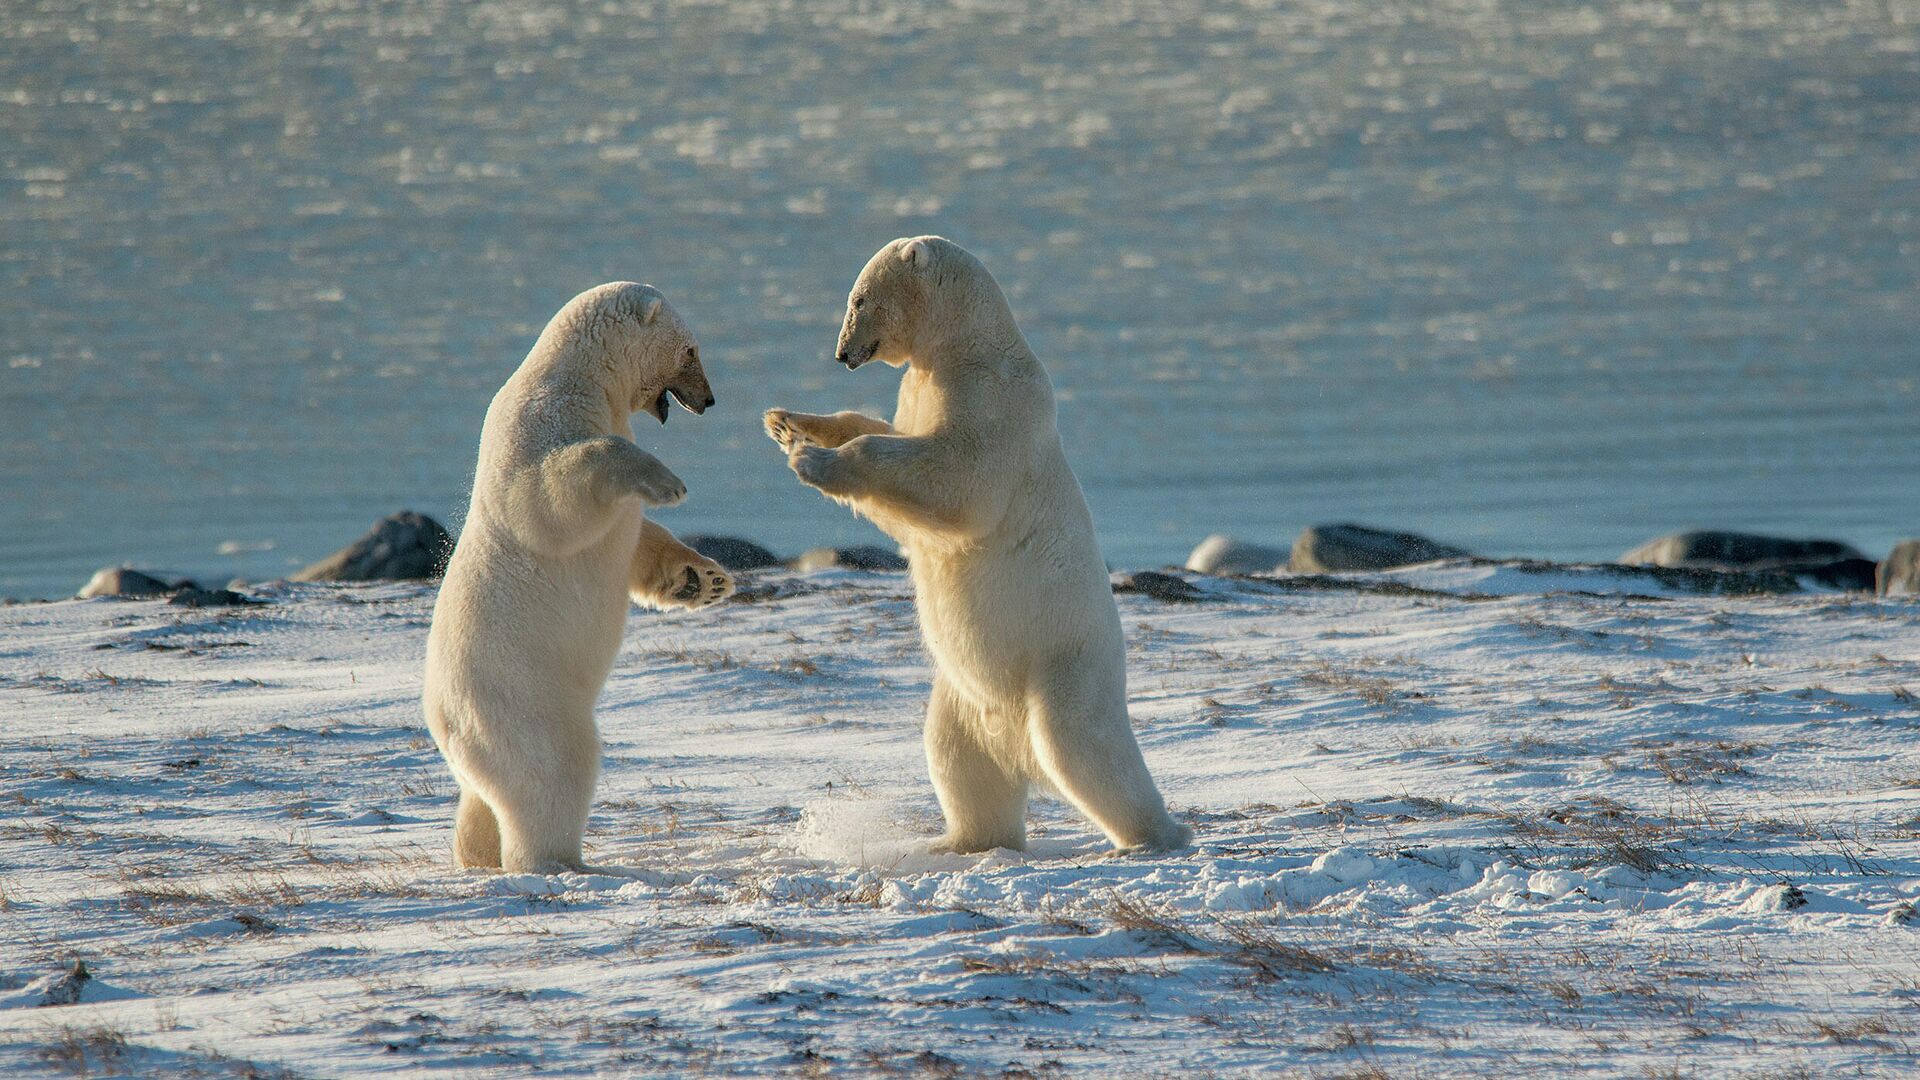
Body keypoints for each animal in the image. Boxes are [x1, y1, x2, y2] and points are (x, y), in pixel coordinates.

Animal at [424, 282, 729, 868]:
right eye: (691, 351)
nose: (708, 400)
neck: (580, 377)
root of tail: (443, 722)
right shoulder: (538, 423)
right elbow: (548, 498)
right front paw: (669, 482)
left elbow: (635, 539)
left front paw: (703, 579)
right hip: (521, 699)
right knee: (554, 770)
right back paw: (560, 861)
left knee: (482, 800)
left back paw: (477, 856)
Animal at [760, 235, 1182, 849]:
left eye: (859, 300)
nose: (841, 354)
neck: (966, 342)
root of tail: (1018, 745)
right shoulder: (923, 387)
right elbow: (895, 452)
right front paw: (789, 423)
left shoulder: (992, 397)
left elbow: (958, 479)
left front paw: (813, 459)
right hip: (964, 698)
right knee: (956, 757)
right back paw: (959, 840)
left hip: (1064, 663)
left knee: (1084, 749)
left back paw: (1157, 834)